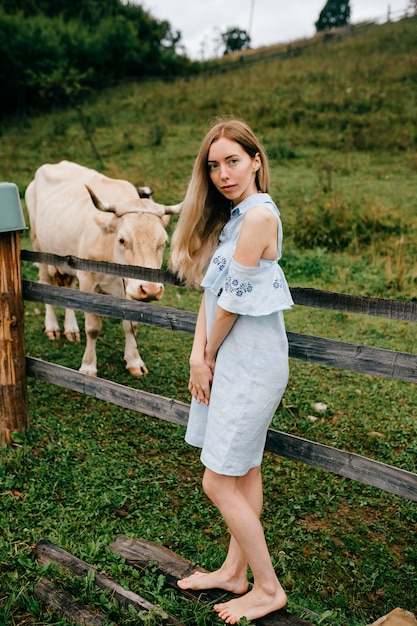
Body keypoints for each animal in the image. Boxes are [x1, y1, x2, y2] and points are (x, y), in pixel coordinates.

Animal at [24, 160, 180, 376]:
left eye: (163, 242)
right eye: (122, 240)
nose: (150, 289)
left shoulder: (128, 288)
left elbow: (130, 325)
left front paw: (134, 361)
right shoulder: (88, 279)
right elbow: (93, 327)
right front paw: (88, 367)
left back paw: (71, 328)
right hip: (40, 249)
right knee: (45, 282)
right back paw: (52, 327)